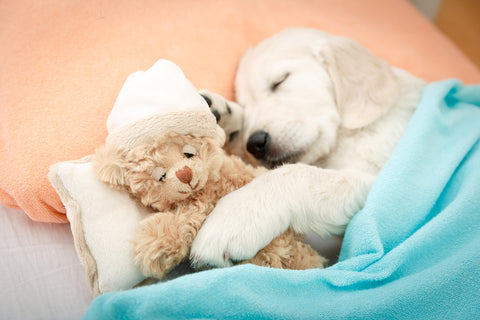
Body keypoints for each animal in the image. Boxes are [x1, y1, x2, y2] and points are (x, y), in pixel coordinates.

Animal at [190, 28, 424, 268]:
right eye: (246, 104)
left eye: (280, 81)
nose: (255, 144)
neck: (343, 134)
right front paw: (222, 116)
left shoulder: (376, 179)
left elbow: (296, 173)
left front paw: (235, 215)